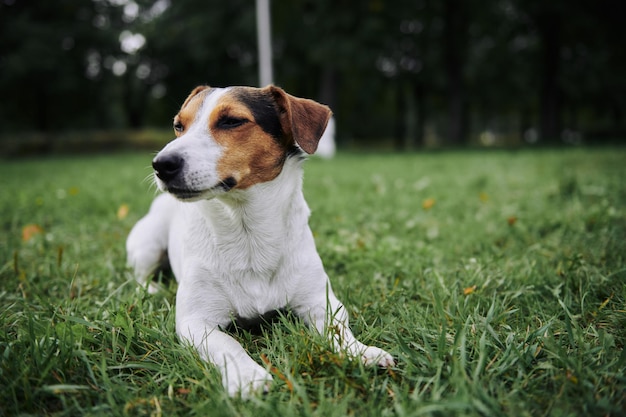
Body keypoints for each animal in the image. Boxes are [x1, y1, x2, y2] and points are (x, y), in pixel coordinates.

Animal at [124, 84, 392, 396]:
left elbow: (337, 330)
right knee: (139, 275)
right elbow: (228, 344)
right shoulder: (195, 321)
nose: (160, 164)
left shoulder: (321, 303)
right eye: (179, 126)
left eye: (231, 121)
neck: (248, 232)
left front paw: (360, 351)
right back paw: (152, 289)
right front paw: (247, 375)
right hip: (147, 245)